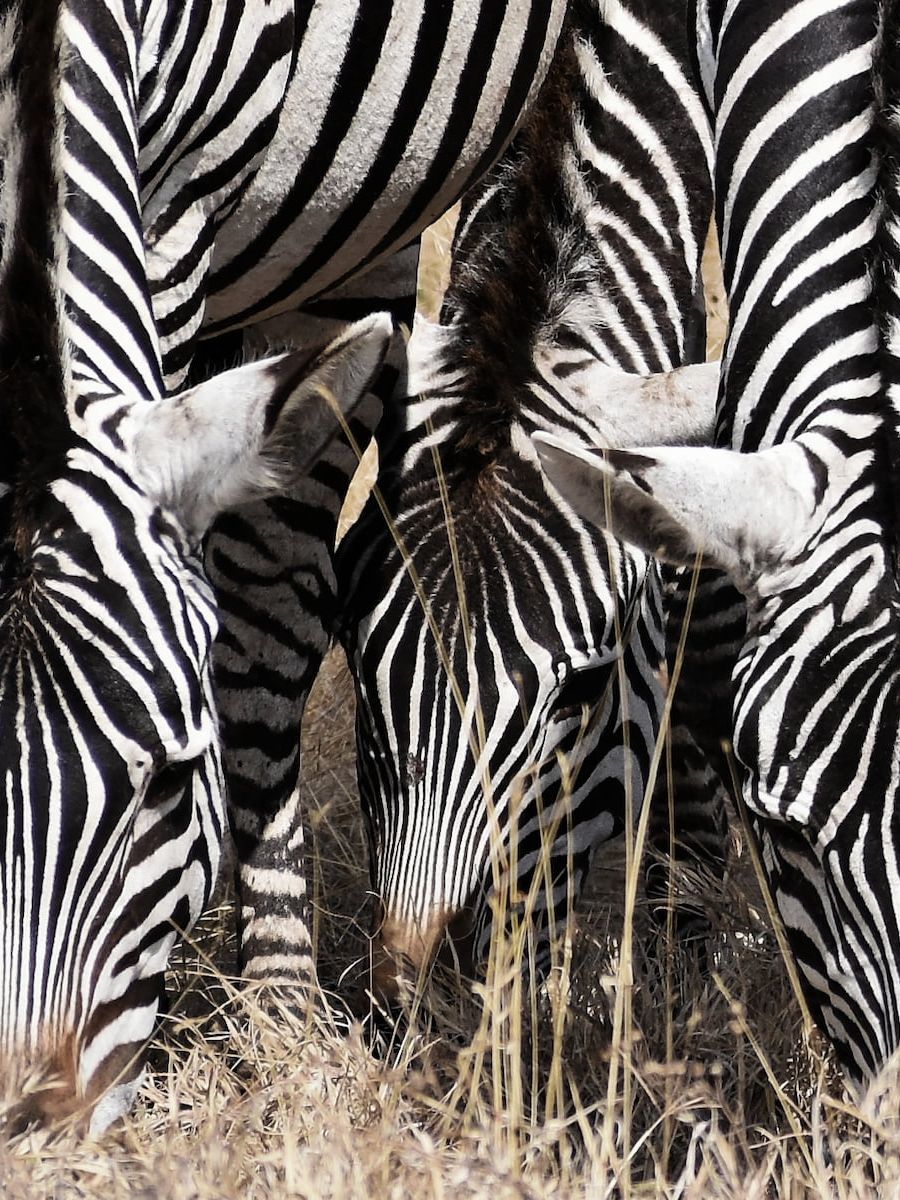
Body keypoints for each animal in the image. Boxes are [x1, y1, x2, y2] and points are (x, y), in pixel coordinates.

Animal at [0, 0, 572, 1129]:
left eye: (170, 785)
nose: (26, 1118)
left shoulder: (181, 205)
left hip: (352, 236)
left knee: (269, 606)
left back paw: (281, 1015)